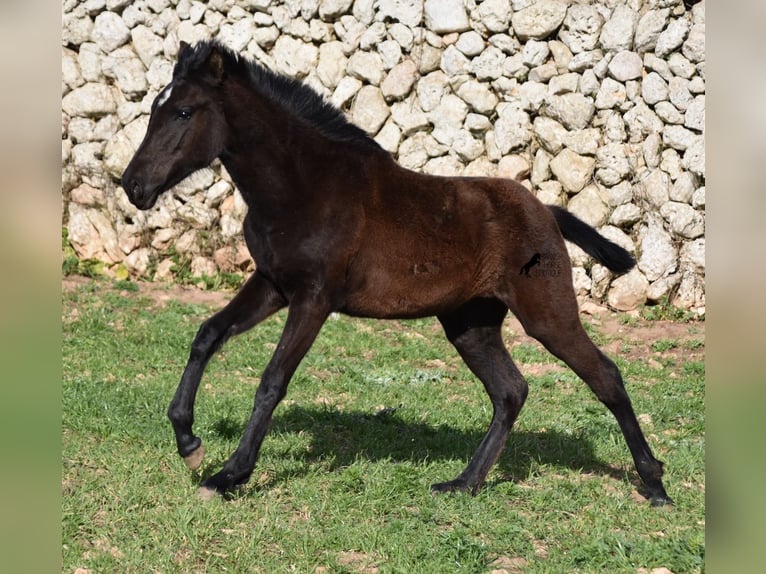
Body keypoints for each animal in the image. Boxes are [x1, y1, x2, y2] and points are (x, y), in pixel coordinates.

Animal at [121, 41, 672, 508]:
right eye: (154, 109)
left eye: (184, 112)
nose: (133, 186)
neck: (304, 187)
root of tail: (547, 212)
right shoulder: (274, 284)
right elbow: (207, 334)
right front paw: (188, 441)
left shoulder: (314, 298)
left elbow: (272, 380)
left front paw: (229, 474)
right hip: (470, 326)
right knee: (511, 391)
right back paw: (463, 483)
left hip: (546, 313)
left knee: (605, 376)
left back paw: (654, 483)